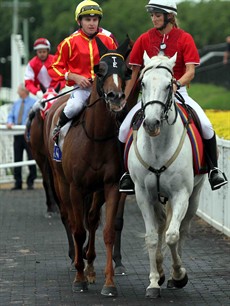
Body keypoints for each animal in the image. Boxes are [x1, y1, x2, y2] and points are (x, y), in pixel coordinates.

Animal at [44, 38, 131, 296]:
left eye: (126, 71)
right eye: (99, 70)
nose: (115, 97)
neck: (95, 136)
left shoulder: (110, 185)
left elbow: (106, 230)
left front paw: (108, 283)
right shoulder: (75, 186)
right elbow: (78, 229)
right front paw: (79, 278)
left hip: (96, 190)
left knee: (91, 219)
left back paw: (90, 265)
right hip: (60, 182)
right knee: (71, 219)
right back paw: (77, 260)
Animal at [128, 52, 206, 298]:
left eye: (168, 85)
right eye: (142, 83)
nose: (151, 123)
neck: (158, 146)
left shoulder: (181, 193)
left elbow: (173, 235)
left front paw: (179, 275)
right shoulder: (143, 194)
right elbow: (153, 237)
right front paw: (154, 282)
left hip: (194, 197)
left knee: (181, 229)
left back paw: (173, 273)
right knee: (162, 225)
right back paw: (162, 272)